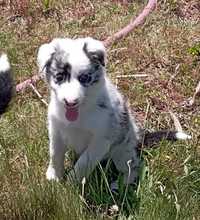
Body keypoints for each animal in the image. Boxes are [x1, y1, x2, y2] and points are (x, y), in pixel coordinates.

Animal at [37, 37, 191, 184]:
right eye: (59, 77)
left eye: (84, 78)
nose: (71, 102)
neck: (81, 112)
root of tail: (138, 138)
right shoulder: (55, 131)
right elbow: (55, 154)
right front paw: (54, 176)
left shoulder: (101, 140)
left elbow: (83, 163)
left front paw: (71, 182)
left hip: (122, 153)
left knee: (134, 168)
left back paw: (120, 184)